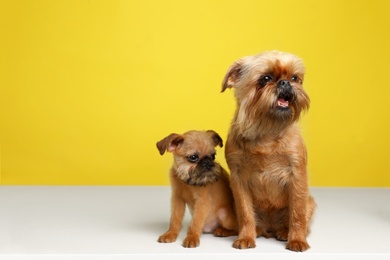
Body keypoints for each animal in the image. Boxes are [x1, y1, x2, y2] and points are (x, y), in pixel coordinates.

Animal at [221, 50, 316, 252]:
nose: (285, 82)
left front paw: (297, 240)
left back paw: (284, 232)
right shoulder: (238, 180)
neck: (266, 131)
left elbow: (297, 213)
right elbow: (245, 213)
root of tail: (269, 229)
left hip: (310, 202)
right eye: (265, 79)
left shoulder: (297, 175)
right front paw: (245, 237)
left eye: (295, 78)